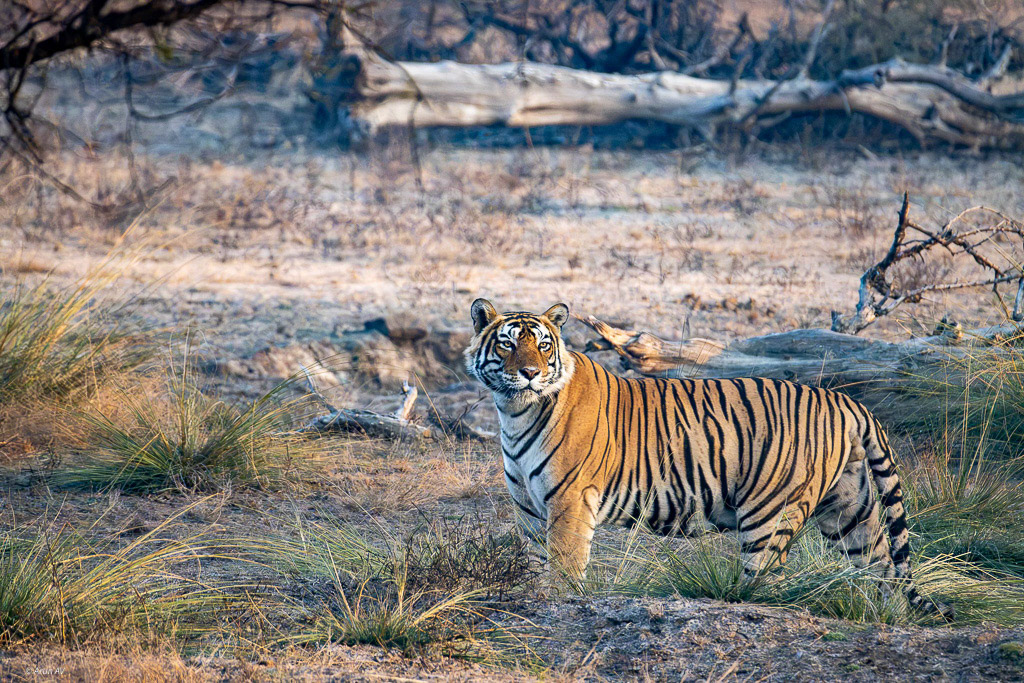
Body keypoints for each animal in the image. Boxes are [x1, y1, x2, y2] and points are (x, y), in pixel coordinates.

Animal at [464, 298, 952, 619]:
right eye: (507, 345)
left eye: (544, 346)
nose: (530, 372)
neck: (515, 411)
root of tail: (844, 401)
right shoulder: (528, 507)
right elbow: (534, 560)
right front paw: (533, 598)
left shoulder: (569, 502)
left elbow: (564, 567)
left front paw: (558, 602)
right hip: (848, 507)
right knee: (882, 565)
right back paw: (886, 620)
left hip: (770, 513)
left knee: (768, 578)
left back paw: (745, 603)